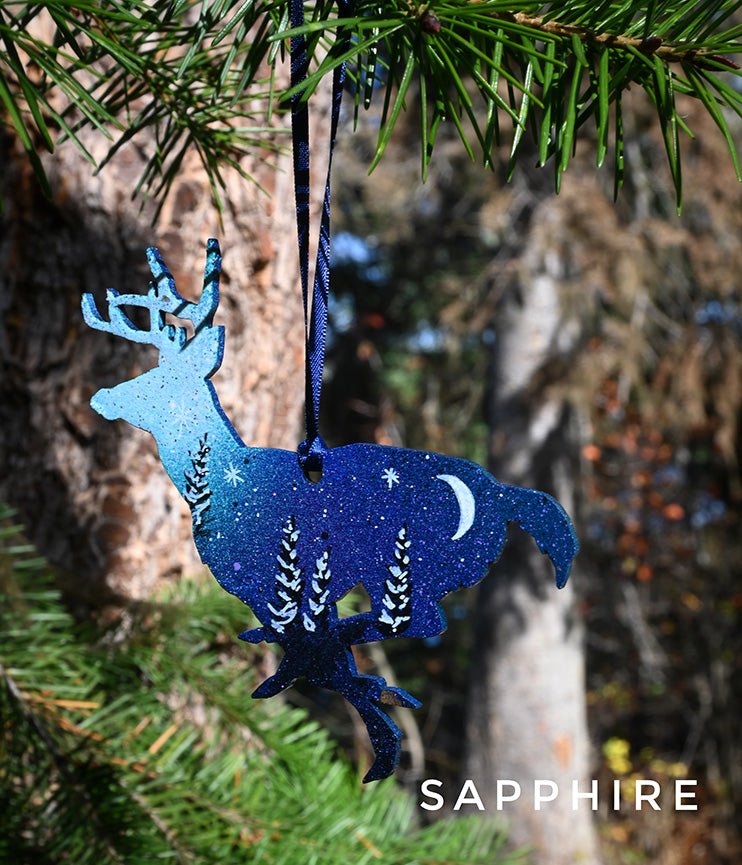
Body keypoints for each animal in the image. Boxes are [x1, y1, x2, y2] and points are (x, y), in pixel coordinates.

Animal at [82, 239, 578, 781]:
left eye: (156, 378)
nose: (101, 397)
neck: (225, 484)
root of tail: (504, 497)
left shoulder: (267, 581)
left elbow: (305, 643)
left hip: (420, 568)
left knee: (416, 622)